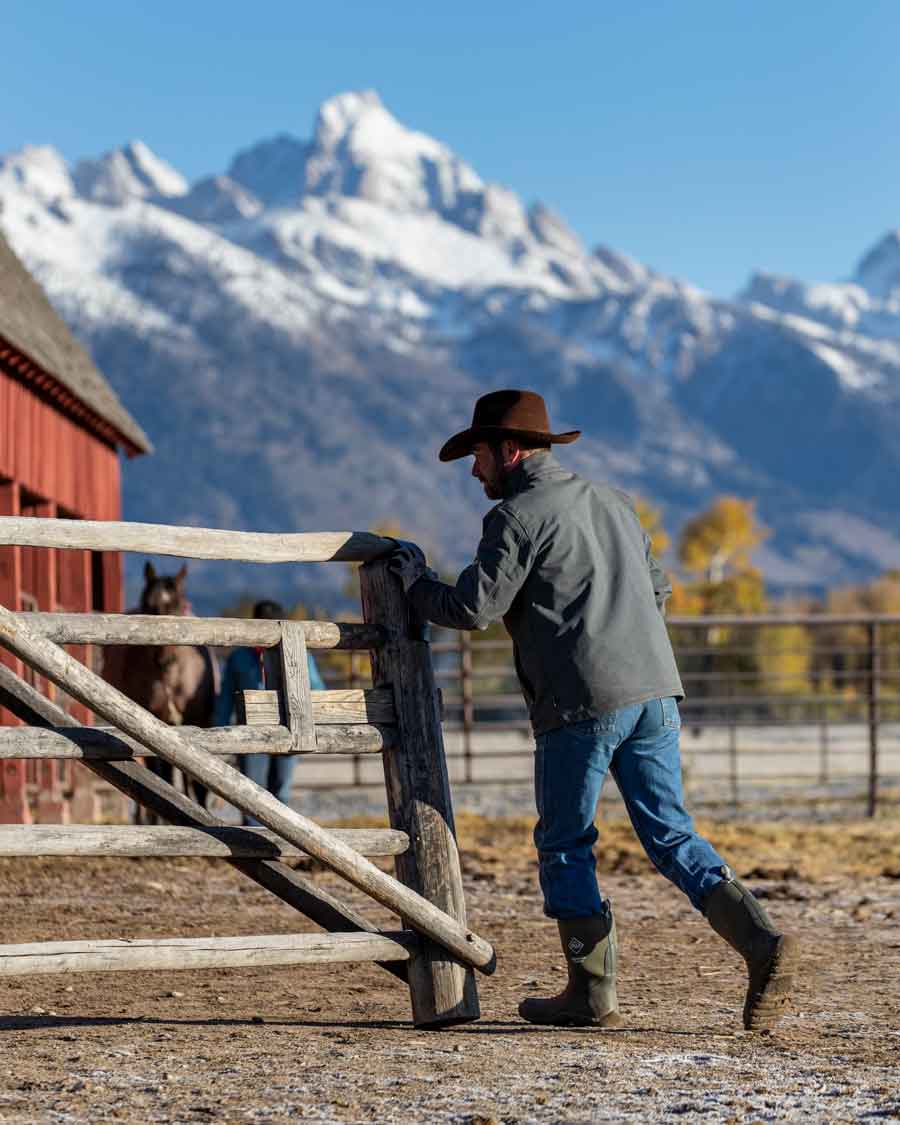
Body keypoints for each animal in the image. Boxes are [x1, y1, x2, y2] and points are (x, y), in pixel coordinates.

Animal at [102, 560, 217, 810]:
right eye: (148, 605)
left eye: (180, 606)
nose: (166, 660)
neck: (170, 679)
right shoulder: (152, 722)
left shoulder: (199, 721)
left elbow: (199, 785)